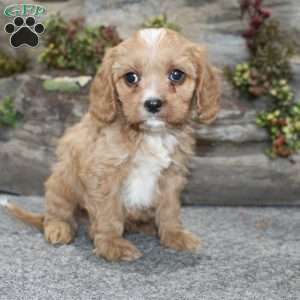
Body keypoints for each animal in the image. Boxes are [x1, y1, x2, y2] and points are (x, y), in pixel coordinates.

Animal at [4, 28, 220, 262]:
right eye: (131, 78)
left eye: (177, 75)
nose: (153, 104)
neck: (150, 135)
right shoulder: (104, 174)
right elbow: (108, 213)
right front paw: (111, 244)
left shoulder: (172, 174)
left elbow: (169, 210)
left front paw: (174, 235)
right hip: (62, 180)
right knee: (57, 211)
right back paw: (59, 228)